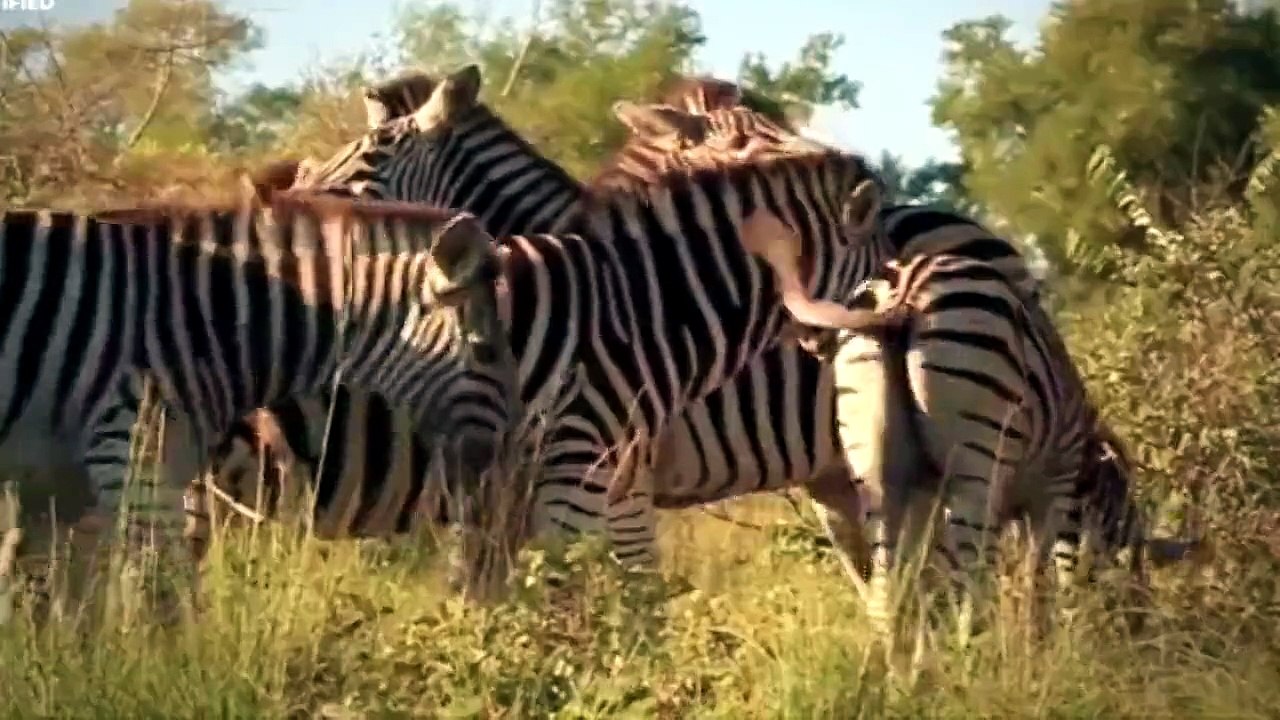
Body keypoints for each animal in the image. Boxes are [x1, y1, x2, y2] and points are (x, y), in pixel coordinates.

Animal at [0, 192, 510, 609]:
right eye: (486, 351)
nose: (494, 458)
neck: (207, 320)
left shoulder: (57, 481)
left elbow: (42, 597)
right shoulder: (136, 460)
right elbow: (167, 600)